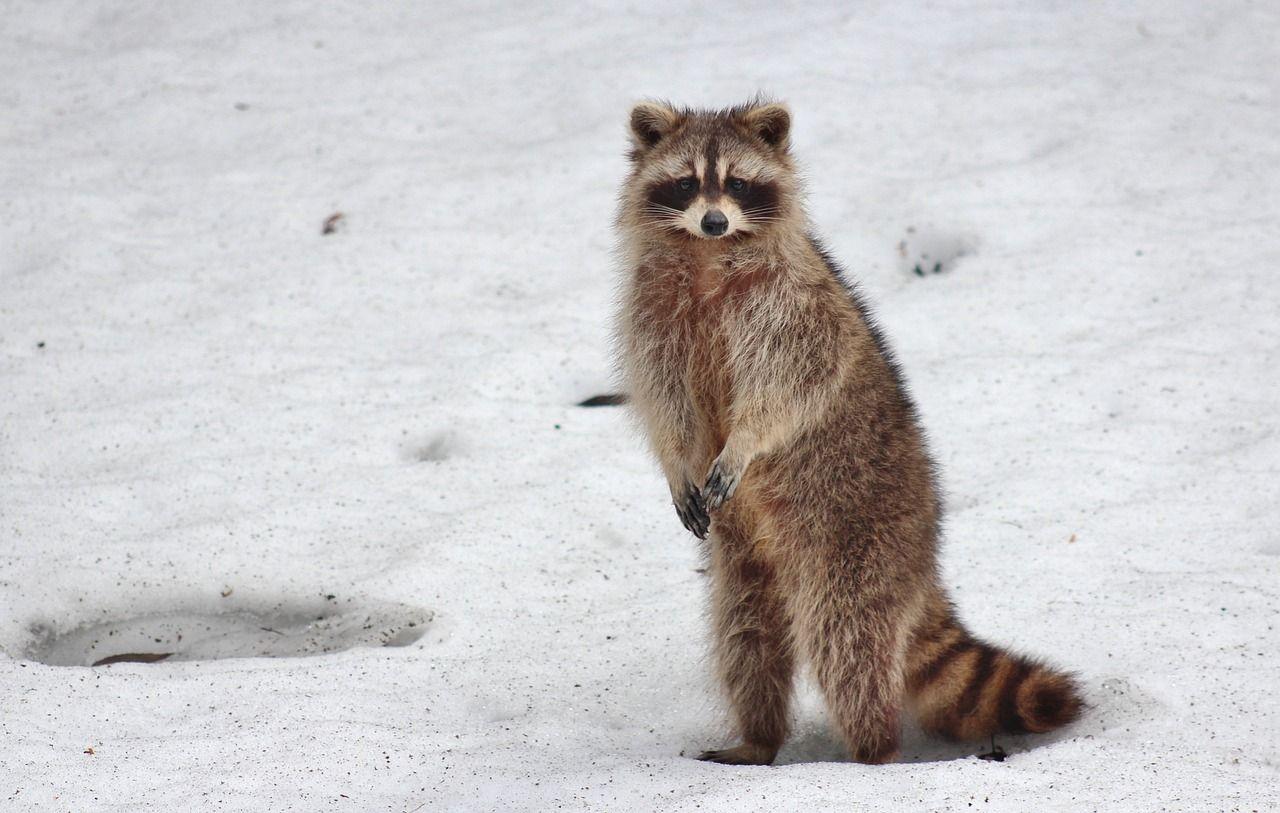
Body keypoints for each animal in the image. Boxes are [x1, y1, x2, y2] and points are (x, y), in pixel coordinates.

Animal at [609, 100, 1080, 763]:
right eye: (686, 183)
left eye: (736, 183)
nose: (712, 221)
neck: (706, 258)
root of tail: (923, 561)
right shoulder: (650, 314)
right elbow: (664, 400)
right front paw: (678, 461)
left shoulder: (793, 308)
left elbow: (788, 388)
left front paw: (744, 441)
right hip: (746, 559)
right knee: (745, 634)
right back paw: (758, 738)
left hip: (858, 538)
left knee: (847, 639)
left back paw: (873, 750)